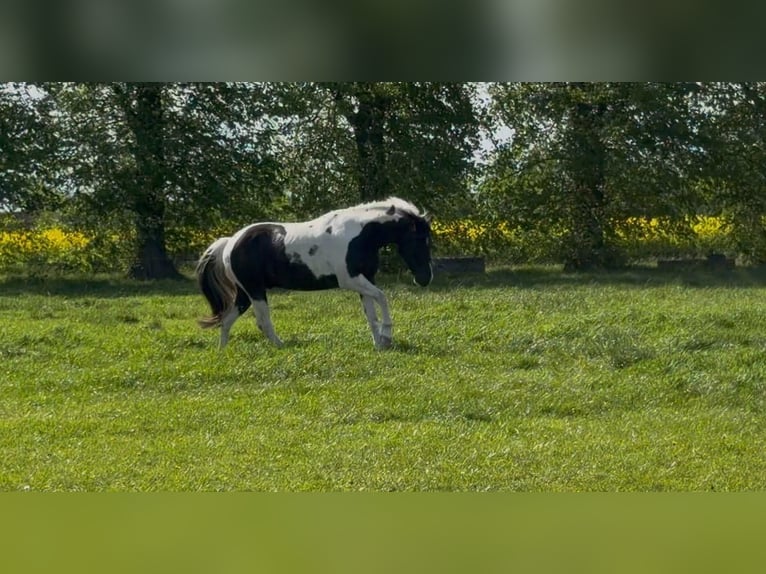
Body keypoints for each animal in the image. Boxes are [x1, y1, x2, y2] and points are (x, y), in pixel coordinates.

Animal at [195, 197, 433, 349]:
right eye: (420, 239)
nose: (424, 279)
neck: (360, 235)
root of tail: (231, 242)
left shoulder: (365, 280)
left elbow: (371, 314)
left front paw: (379, 344)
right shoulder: (351, 280)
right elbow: (382, 298)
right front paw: (387, 337)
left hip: (245, 294)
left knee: (227, 321)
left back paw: (223, 352)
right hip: (255, 291)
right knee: (263, 322)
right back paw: (281, 346)